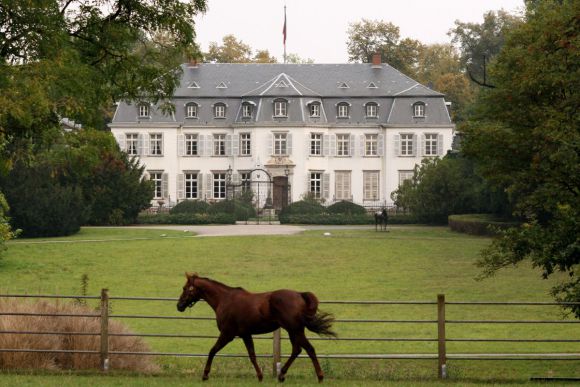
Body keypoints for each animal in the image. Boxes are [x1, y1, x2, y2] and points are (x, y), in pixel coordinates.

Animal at [179, 274, 338, 384]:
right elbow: (252, 355)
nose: (179, 305)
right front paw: (260, 376)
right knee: (297, 350)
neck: (224, 299)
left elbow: (212, 351)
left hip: (295, 330)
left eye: (185, 288)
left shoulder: (227, 334)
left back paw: (319, 377)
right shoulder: (245, 334)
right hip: (293, 331)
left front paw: (205, 375)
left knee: (309, 349)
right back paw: (282, 375)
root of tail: (300, 294)